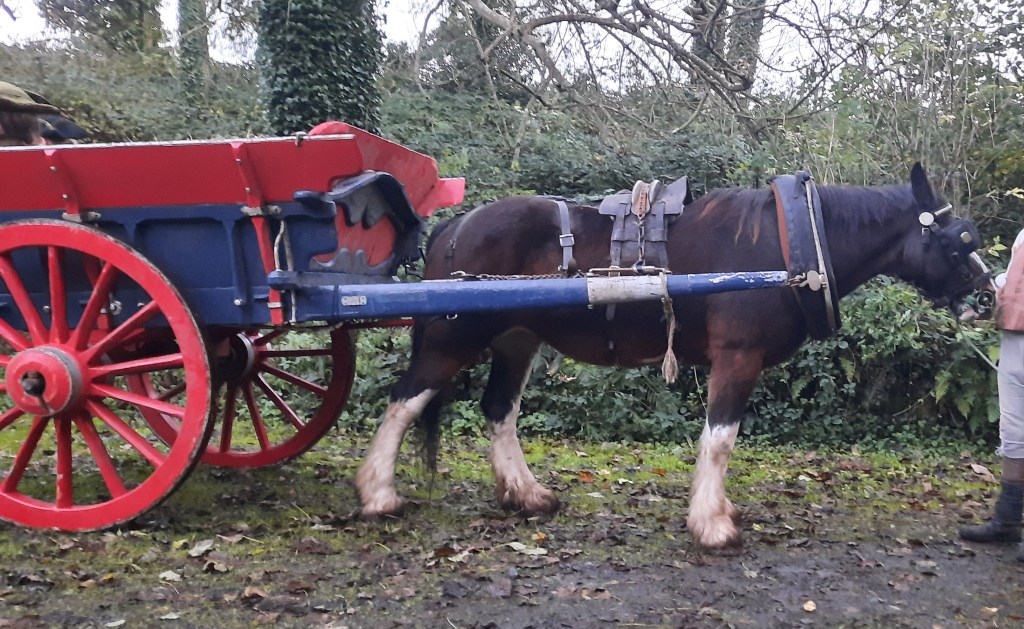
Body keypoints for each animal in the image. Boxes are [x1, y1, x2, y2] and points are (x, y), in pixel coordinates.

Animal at [354, 163, 993, 549]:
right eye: (960, 241)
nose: (989, 295)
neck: (788, 247)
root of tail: (457, 225)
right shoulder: (737, 358)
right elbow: (720, 439)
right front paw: (711, 523)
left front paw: (718, 512)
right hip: (452, 338)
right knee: (404, 402)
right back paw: (378, 494)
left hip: (517, 338)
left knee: (498, 410)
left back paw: (527, 494)